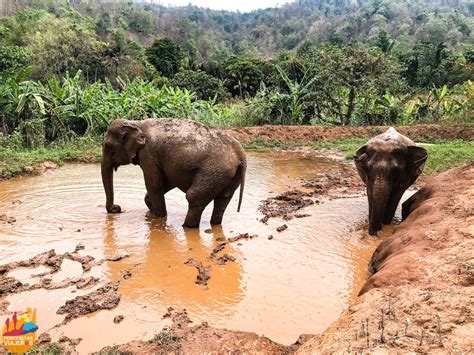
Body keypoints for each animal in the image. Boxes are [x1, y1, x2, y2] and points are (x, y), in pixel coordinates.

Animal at [101, 118, 246, 229]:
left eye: (107, 146)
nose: (117, 208)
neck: (136, 123)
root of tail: (240, 153)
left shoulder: (148, 154)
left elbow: (154, 184)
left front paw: (159, 217)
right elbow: (167, 181)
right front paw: (151, 211)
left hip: (213, 170)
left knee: (194, 197)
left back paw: (186, 227)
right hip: (230, 175)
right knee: (222, 199)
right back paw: (214, 224)